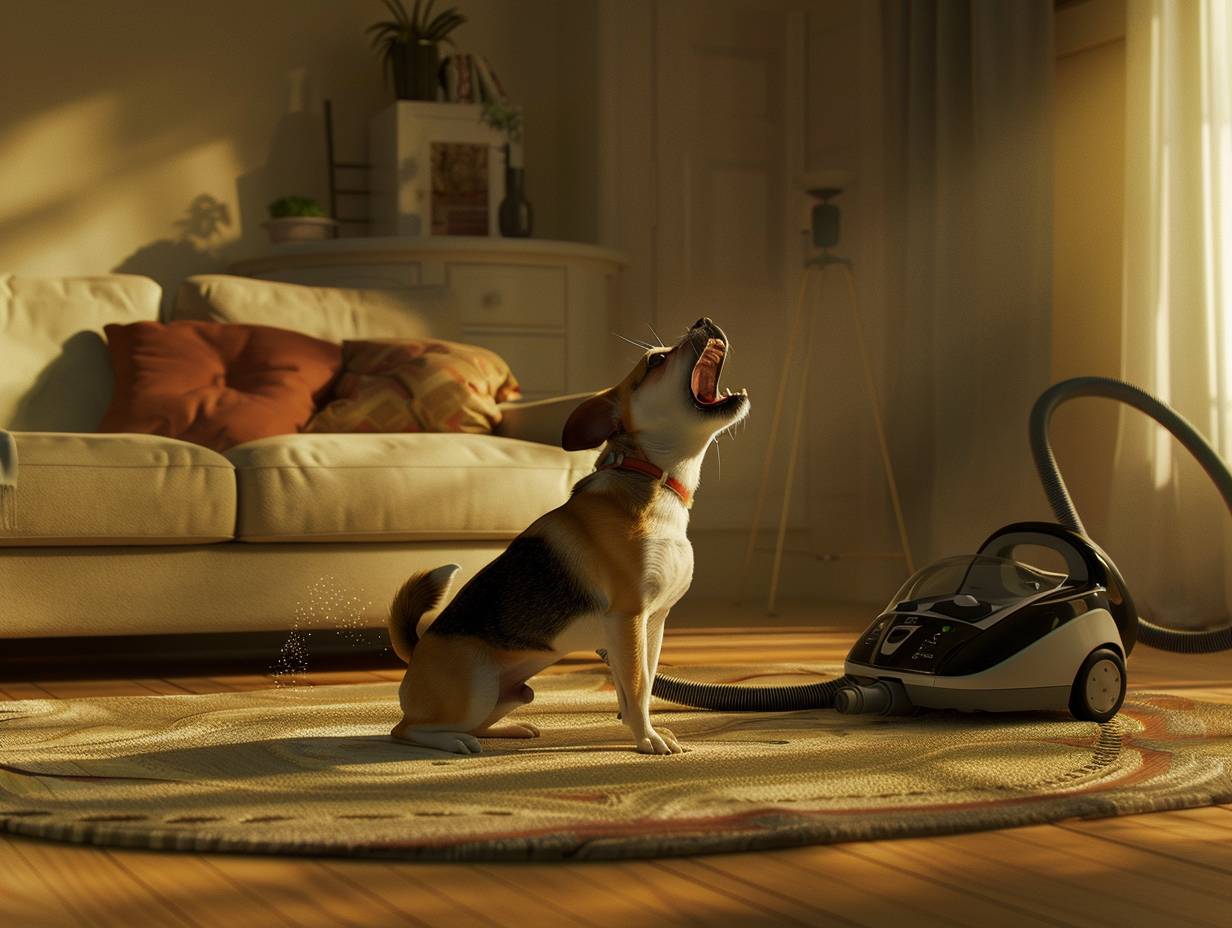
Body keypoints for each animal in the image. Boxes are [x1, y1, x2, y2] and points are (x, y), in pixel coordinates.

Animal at [389, 317, 744, 754]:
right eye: (656, 361)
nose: (703, 321)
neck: (653, 479)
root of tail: (418, 649)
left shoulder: (652, 624)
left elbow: (637, 690)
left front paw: (642, 730)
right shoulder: (629, 618)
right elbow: (638, 687)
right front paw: (647, 738)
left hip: (514, 694)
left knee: (473, 722)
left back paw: (508, 730)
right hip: (476, 687)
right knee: (406, 730)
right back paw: (455, 742)